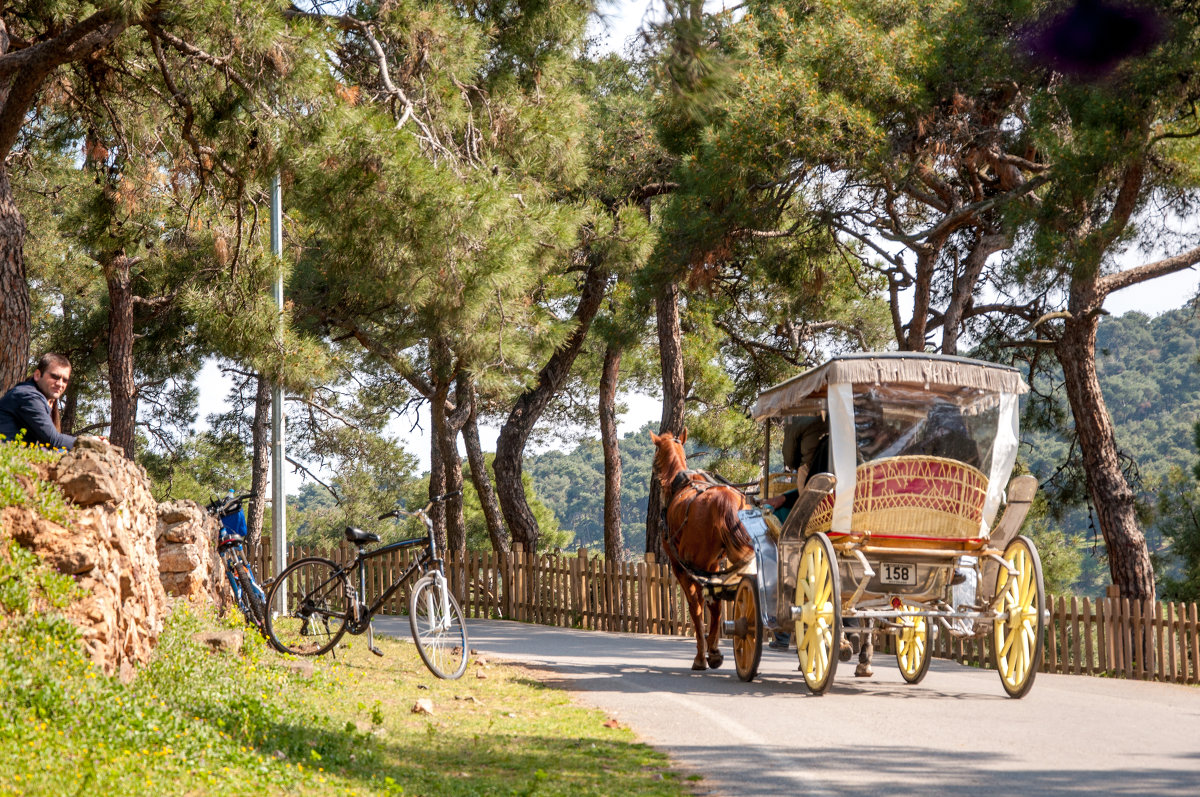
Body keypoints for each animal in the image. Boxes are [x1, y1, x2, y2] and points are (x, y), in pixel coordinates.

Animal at [652, 432, 753, 667]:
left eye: (656, 451)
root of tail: (725, 500)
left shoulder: (681, 566)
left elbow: (695, 607)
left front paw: (701, 654)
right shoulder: (713, 564)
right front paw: (712, 648)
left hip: (696, 563)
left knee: (708, 603)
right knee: (720, 602)